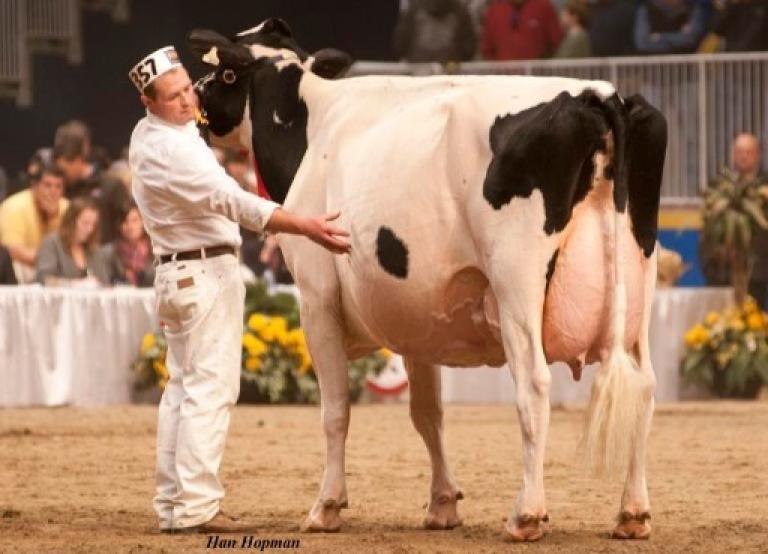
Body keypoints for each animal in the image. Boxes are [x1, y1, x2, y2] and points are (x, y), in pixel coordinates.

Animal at [187, 18, 667, 542]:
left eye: (224, 71)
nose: (194, 97)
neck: (314, 124)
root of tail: (595, 93)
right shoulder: (416, 313)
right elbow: (428, 413)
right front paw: (443, 504)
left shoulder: (316, 296)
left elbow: (336, 410)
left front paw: (326, 505)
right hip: (638, 285)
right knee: (642, 386)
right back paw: (633, 513)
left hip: (516, 283)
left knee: (535, 386)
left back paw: (527, 514)